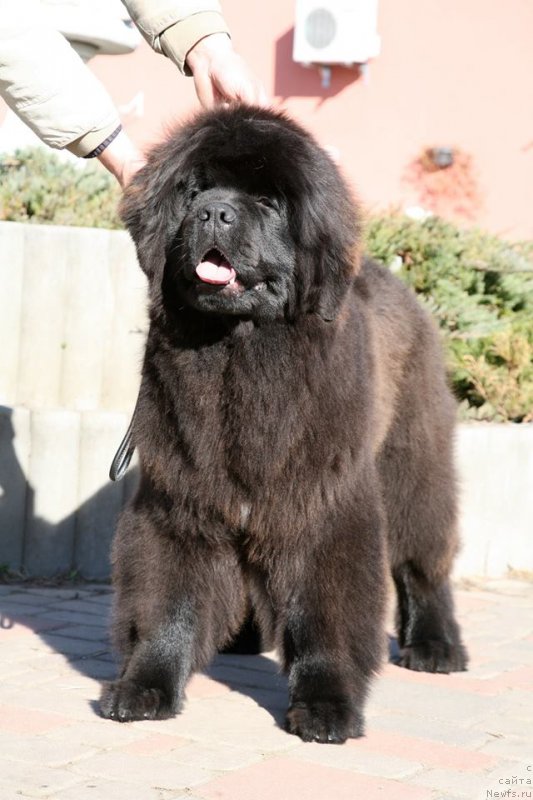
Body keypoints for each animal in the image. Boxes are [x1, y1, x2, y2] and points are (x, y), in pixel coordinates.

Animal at [100, 104, 466, 744]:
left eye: (268, 201)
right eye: (193, 190)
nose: (213, 211)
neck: (240, 355)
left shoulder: (320, 504)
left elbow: (325, 612)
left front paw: (325, 706)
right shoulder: (183, 502)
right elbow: (168, 601)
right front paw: (145, 686)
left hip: (412, 460)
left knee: (423, 554)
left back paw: (435, 645)